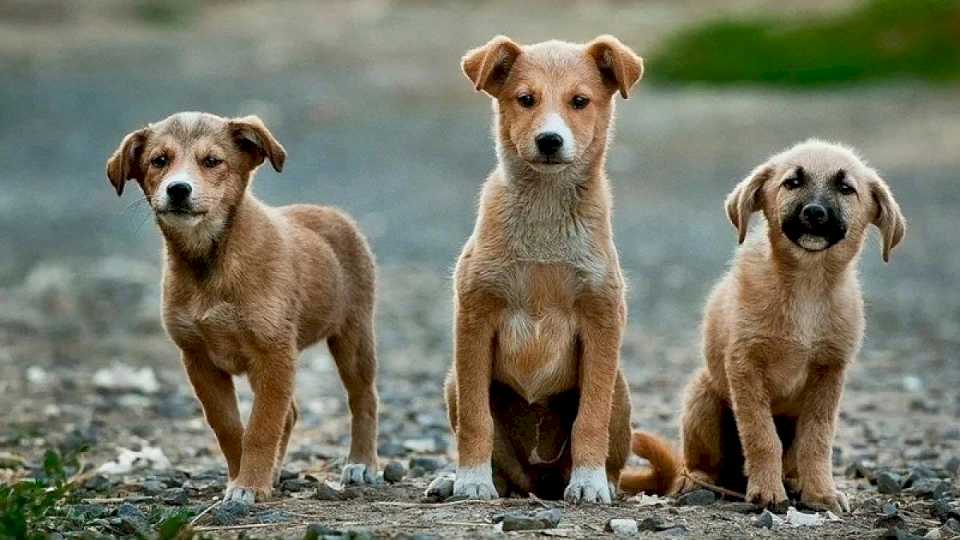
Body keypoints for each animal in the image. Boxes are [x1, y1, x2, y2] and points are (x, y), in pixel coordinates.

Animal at [102, 112, 378, 504]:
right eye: (159, 160)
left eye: (212, 161)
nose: (178, 189)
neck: (210, 262)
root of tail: (333, 213)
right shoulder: (199, 359)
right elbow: (230, 426)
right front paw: (242, 477)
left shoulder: (273, 353)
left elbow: (261, 426)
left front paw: (249, 485)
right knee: (291, 413)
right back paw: (275, 472)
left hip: (353, 337)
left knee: (363, 398)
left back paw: (362, 463)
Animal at [444, 35, 644, 504]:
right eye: (525, 99)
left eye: (580, 101)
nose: (550, 140)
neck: (546, 214)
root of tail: (539, 483)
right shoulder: (474, 318)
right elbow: (476, 420)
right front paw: (471, 479)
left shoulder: (602, 321)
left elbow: (590, 418)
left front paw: (589, 483)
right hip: (452, 382)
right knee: (503, 466)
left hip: (620, 388)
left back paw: (601, 481)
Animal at [624, 138, 908, 510]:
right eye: (793, 182)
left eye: (846, 188)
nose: (814, 212)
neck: (806, 286)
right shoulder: (745, 366)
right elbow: (761, 436)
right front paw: (767, 491)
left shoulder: (829, 373)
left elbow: (817, 441)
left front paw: (821, 492)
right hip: (703, 396)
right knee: (697, 464)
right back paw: (700, 483)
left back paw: (795, 481)